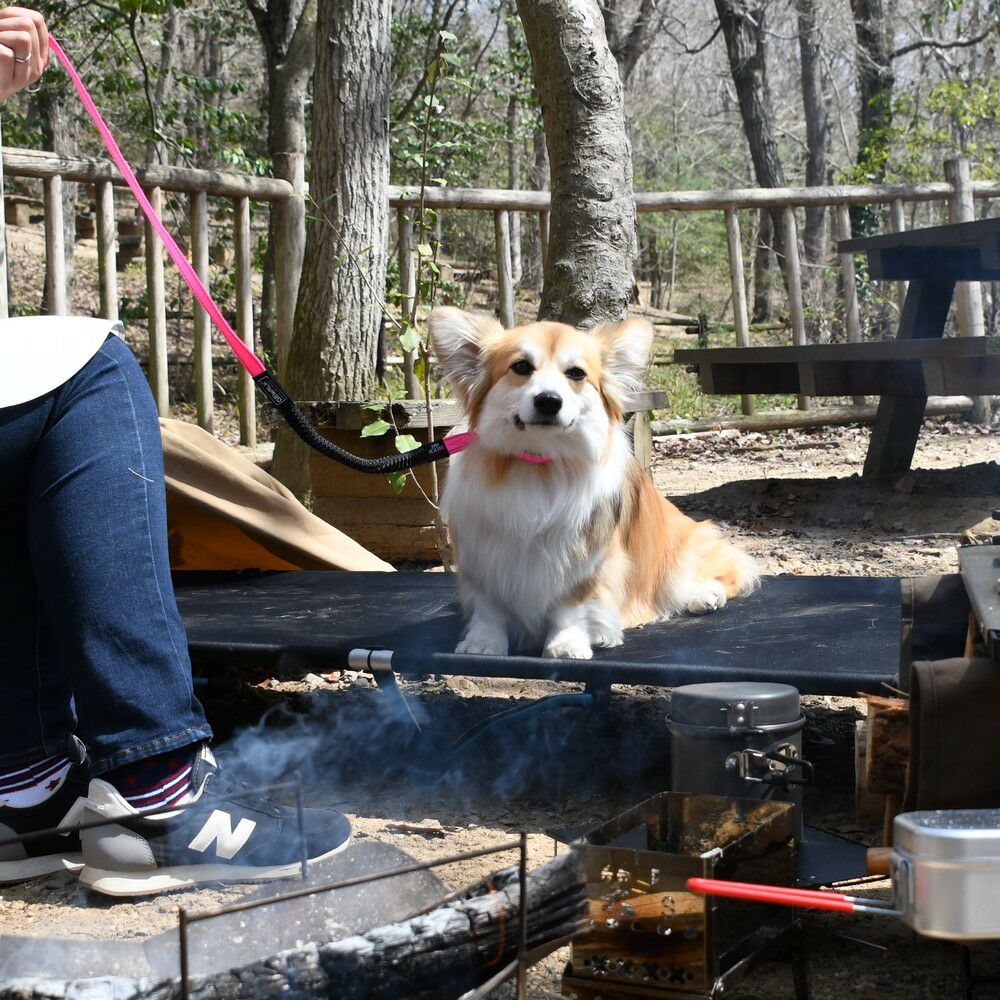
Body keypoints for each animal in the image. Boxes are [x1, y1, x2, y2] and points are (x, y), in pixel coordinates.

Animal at [428, 306, 759, 660]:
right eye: (521, 367)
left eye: (576, 374)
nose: (549, 400)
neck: (540, 463)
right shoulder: (484, 553)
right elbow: (489, 608)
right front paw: (483, 642)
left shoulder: (586, 557)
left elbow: (572, 605)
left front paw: (567, 643)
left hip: (682, 542)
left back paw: (703, 594)